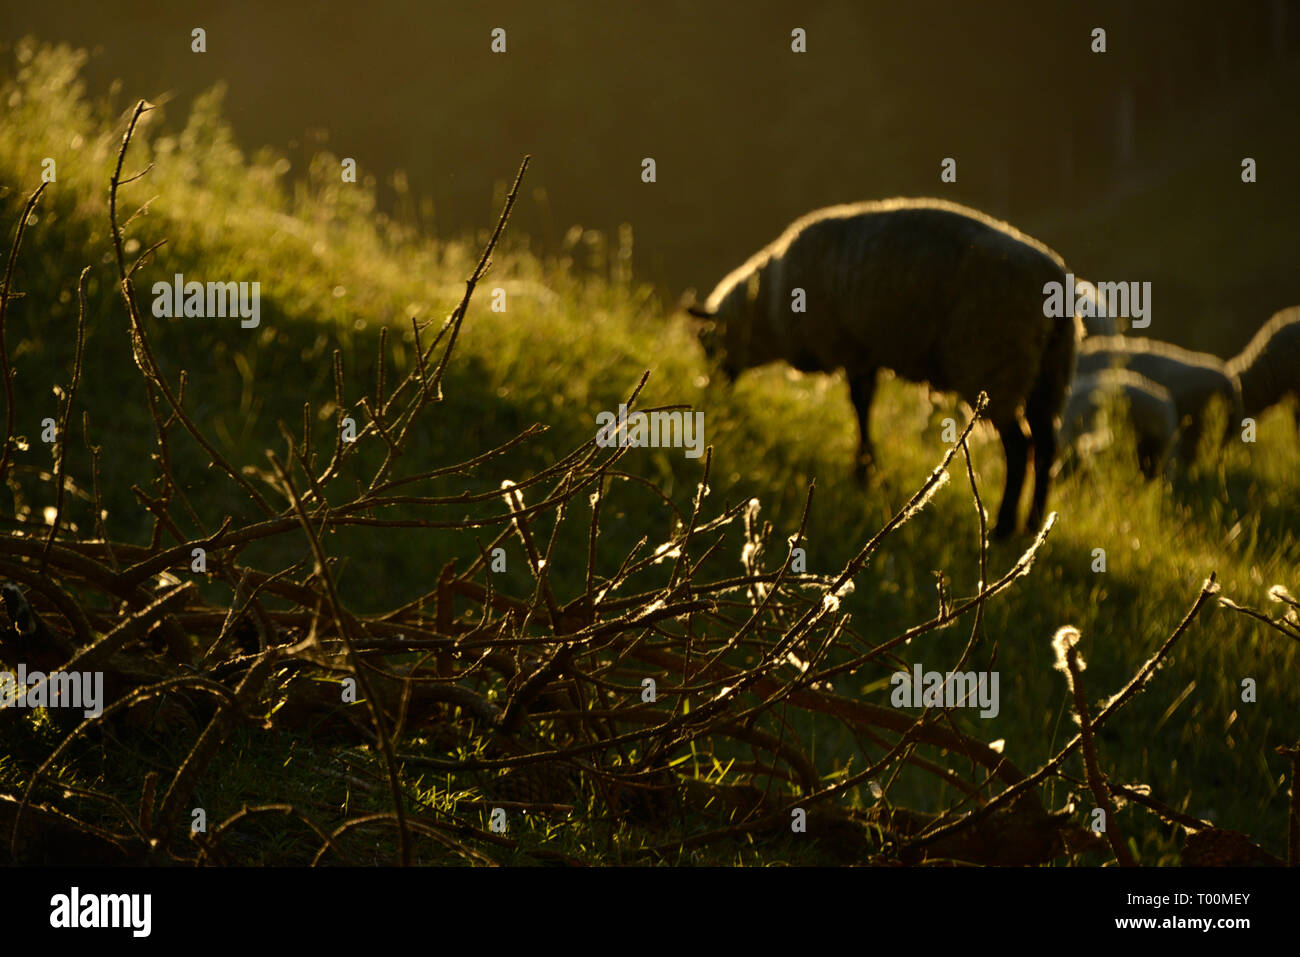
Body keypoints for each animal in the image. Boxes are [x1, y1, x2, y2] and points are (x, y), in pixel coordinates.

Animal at [691, 196, 1086, 538]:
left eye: (707, 344)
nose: (713, 396)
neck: (767, 309)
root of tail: (1054, 281)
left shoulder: (851, 348)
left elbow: (860, 406)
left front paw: (864, 471)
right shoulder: (864, 352)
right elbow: (864, 405)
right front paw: (867, 469)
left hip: (994, 364)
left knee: (1019, 447)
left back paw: (1003, 528)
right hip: (1050, 375)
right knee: (1046, 446)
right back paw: (1033, 525)